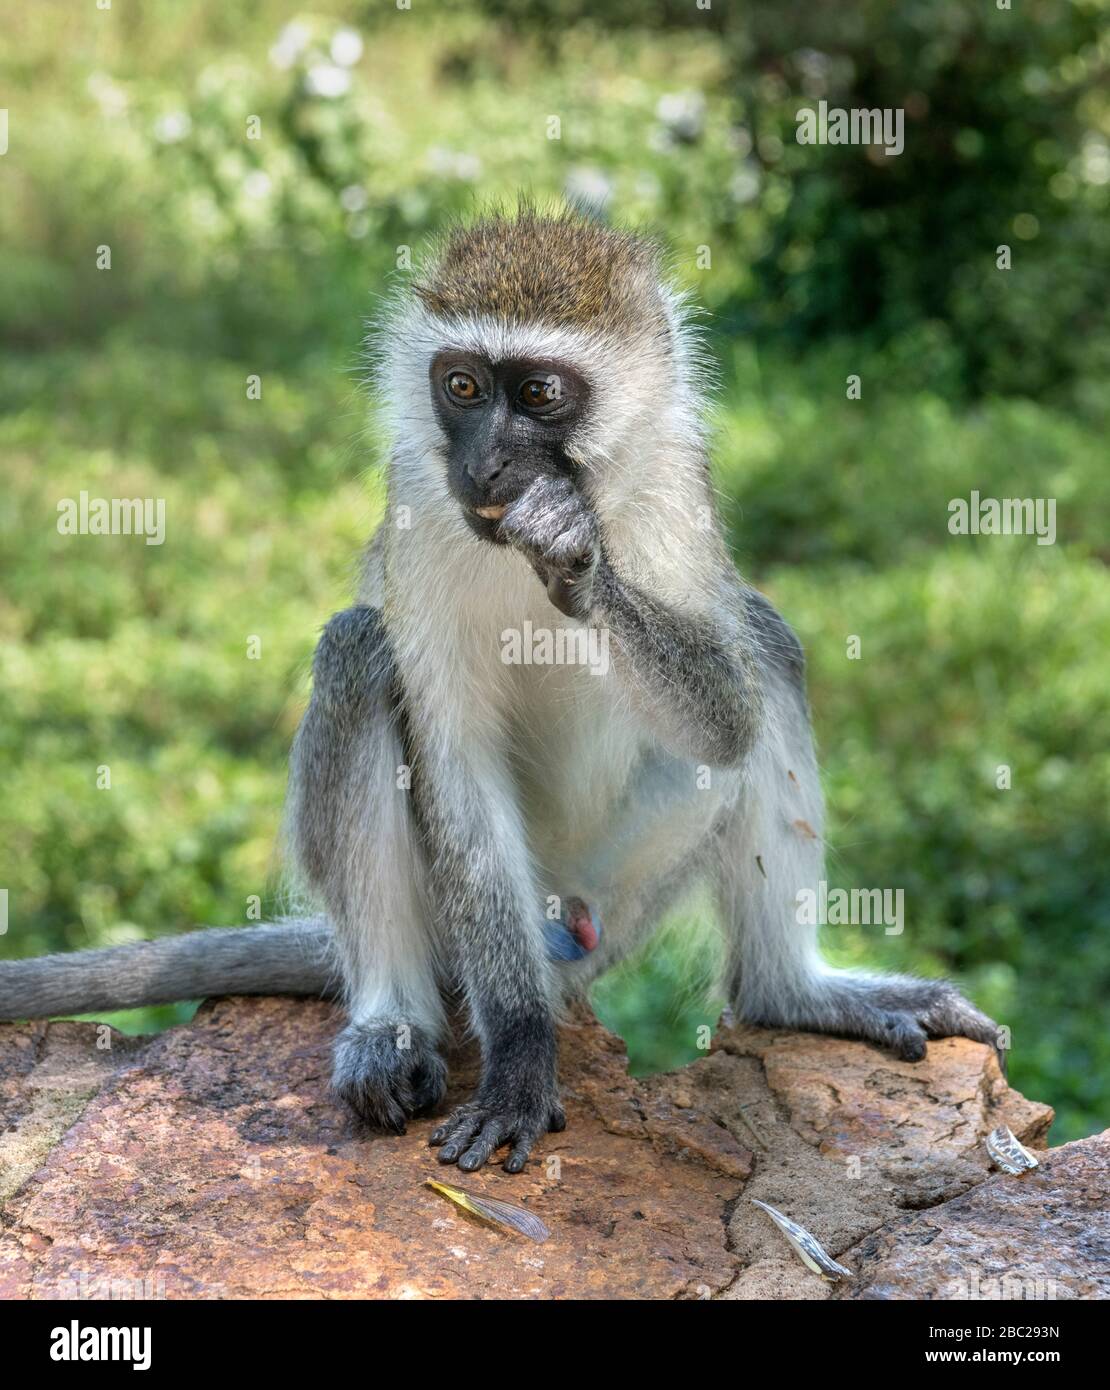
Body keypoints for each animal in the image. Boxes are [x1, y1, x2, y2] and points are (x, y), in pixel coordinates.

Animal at [0, 206, 1002, 1174]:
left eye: (539, 394)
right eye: (463, 388)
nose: (484, 468)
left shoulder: (680, 485)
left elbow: (726, 715)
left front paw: (576, 553)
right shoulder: (415, 496)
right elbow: (454, 760)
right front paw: (520, 1060)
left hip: (616, 893)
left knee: (766, 644)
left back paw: (790, 992)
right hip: (467, 926)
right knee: (360, 654)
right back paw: (391, 1024)